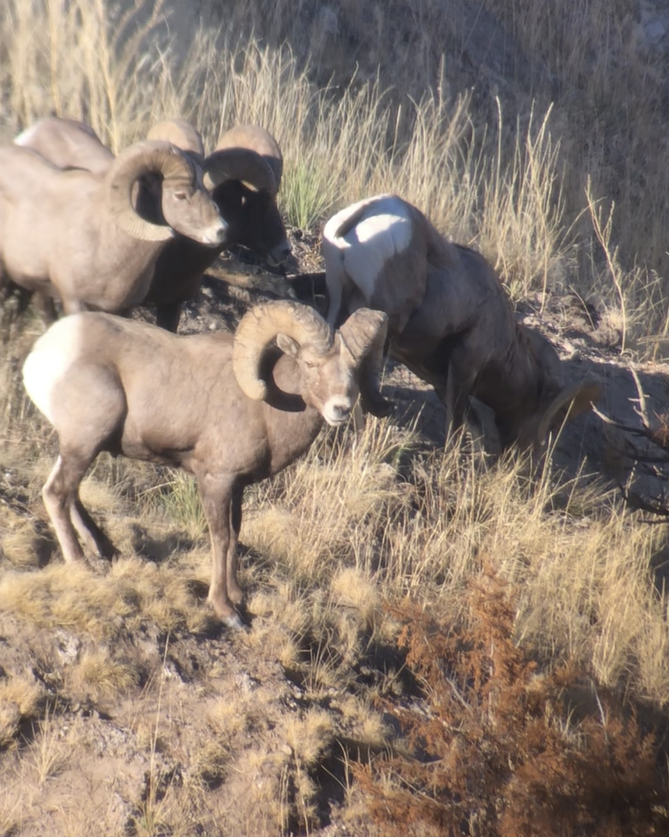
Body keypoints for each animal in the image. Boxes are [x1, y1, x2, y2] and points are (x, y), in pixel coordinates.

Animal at [22, 300, 386, 628]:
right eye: (310, 363)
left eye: (354, 369)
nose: (341, 408)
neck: (268, 409)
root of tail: (41, 353)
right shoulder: (216, 481)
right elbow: (221, 538)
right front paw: (226, 611)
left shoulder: (237, 488)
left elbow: (236, 535)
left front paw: (238, 595)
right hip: (84, 441)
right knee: (57, 493)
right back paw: (80, 565)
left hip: (80, 447)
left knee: (71, 494)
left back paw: (104, 550)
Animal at [322, 195, 596, 448]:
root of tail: (366, 211)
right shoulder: (464, 367)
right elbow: (455, 424)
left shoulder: (440, 379)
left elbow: (471, 424)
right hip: (387, 318)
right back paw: (382, 410)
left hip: (339, 302)